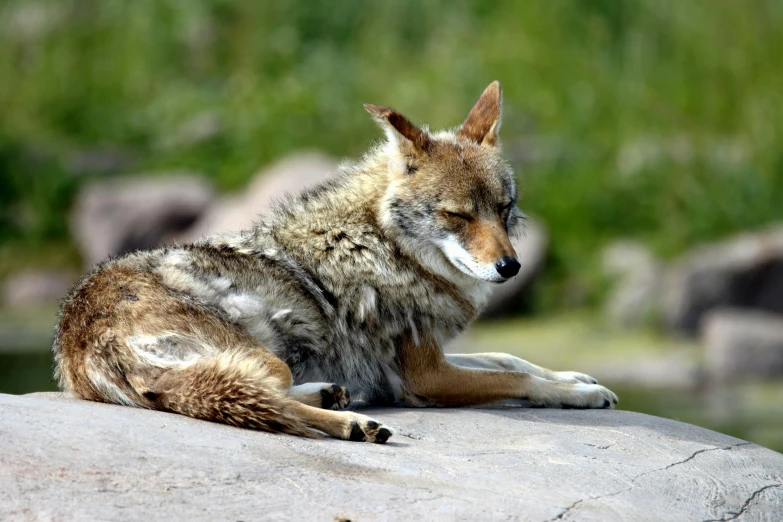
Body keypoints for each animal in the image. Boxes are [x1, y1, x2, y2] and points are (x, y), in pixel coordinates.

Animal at [53, 81, 620, 438]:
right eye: (458, 215)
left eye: (503, 209)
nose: (511, 267)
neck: (387, 245)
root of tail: (79, 338)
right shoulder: (425, 378)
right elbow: (517, 380)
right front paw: (581, 395)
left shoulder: (436, 355)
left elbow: (508, 357)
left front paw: (579, 379)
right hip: (262, 355)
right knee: (256, 397)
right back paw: (351, 424)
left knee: (248, 394)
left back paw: (331, 395)